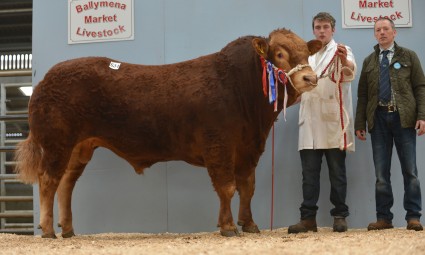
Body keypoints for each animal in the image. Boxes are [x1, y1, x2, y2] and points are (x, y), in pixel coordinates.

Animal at [14, 28, 320, 239]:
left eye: (307, 53)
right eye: (279, 54)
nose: (310, 78)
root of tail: (46, 79)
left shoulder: (249, 148)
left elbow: (247, 187)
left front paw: (250, 224)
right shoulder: (218, 146)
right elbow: (227, 187)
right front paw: (228, 226)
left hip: (80, 147)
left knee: (66, 184)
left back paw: (67, 229)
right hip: (56, 143)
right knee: (48, 180)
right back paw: (48, 230)